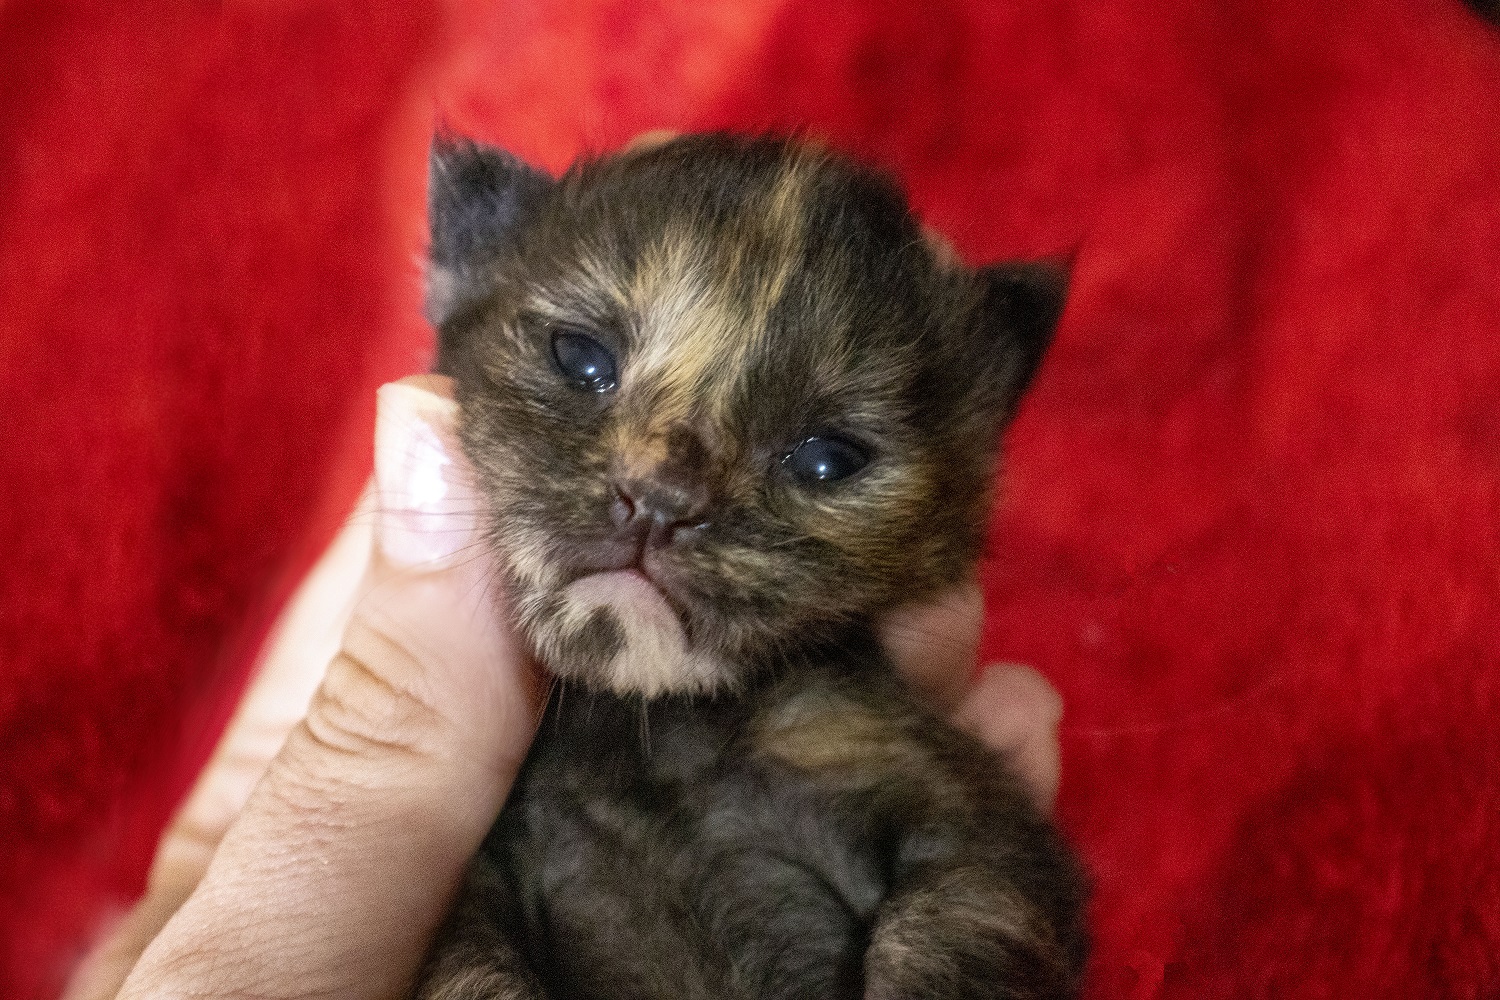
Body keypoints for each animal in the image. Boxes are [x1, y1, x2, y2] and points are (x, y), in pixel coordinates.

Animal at [417, 134, 1086, 1000]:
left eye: (828, 459)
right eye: (582, 359)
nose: (662, 499)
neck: (650, 730)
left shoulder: (972, 832)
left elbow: (942, 933)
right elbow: (473, 973)